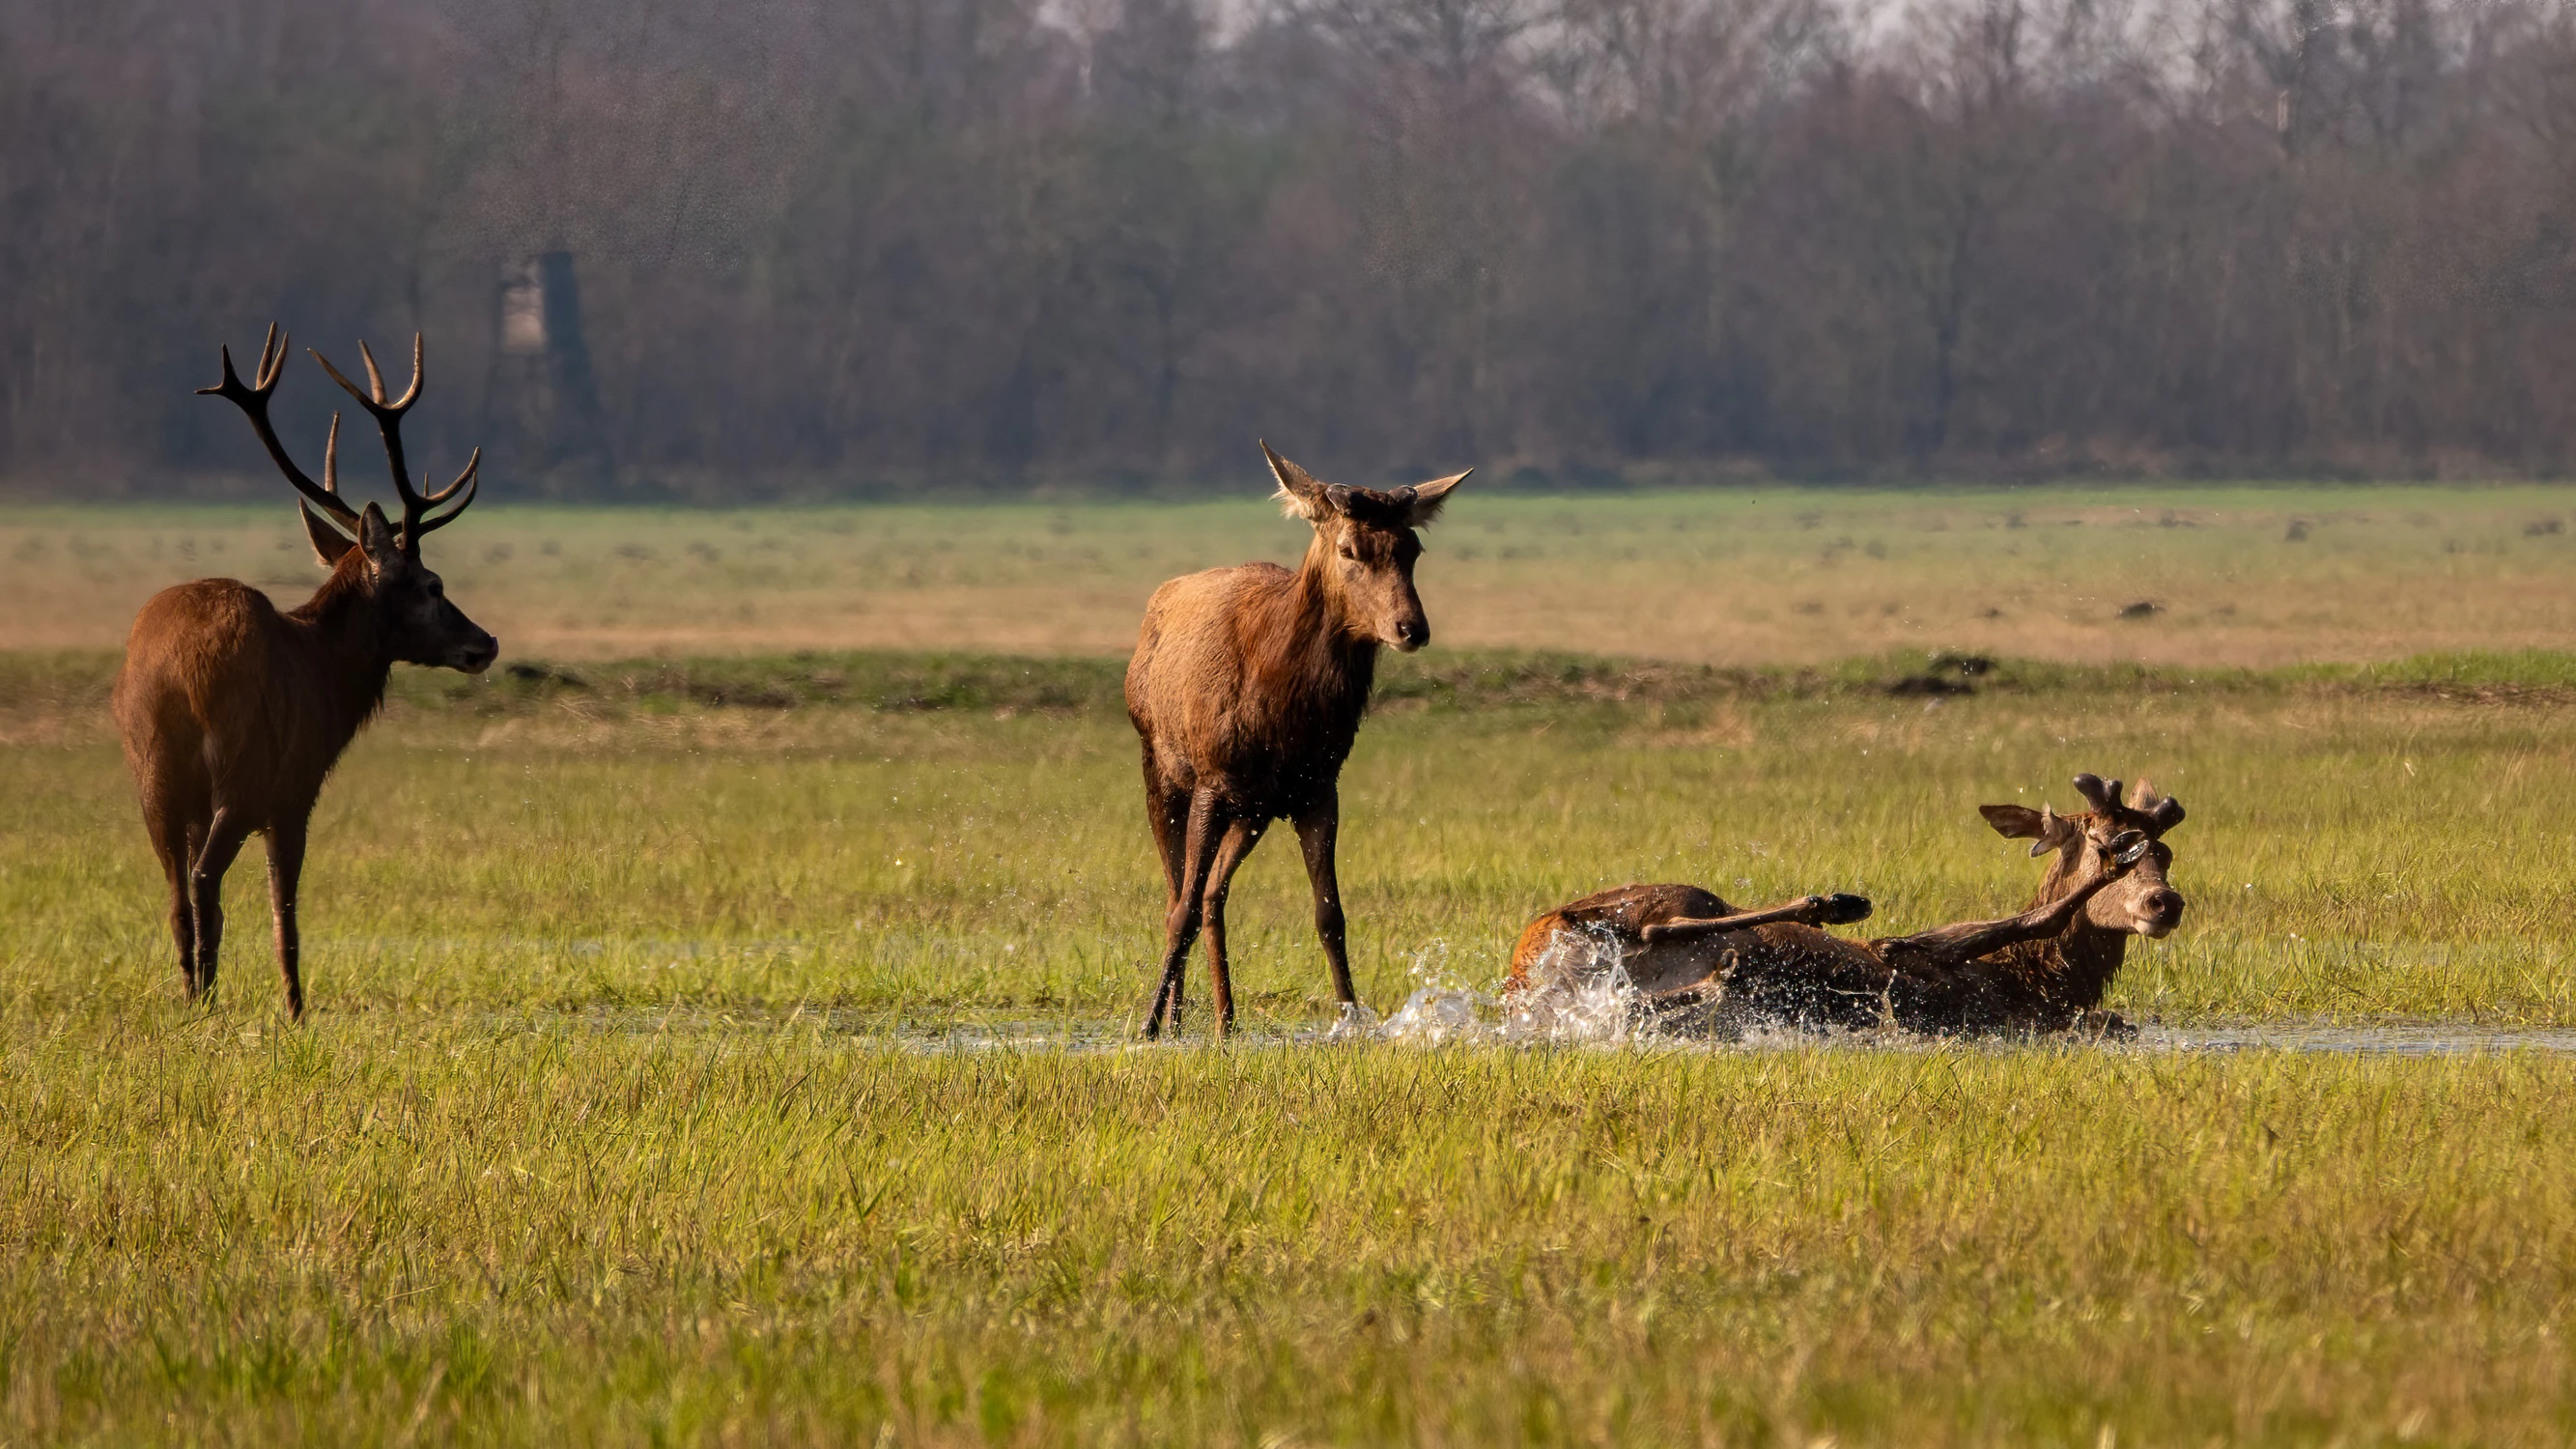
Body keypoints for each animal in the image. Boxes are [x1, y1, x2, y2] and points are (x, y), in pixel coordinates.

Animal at [114, 325, 496, 1015]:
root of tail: (180, 675)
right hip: (244, 768)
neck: (326, 676)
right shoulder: (297, 787)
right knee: (206, 881)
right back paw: (209, 1002)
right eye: (432, 584)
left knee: (177, 896)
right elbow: (284, 908)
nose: (486, 642)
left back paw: (191, 999)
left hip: (151, 772)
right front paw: (295, 1010)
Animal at [1128, 438, 1473, 1026]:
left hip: (1255, 812)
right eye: (1349, 549)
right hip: (1162, 770)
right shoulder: (1213, 781)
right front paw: (1150, 1026)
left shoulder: (1317, 788)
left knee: (1214, 894)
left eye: (1413, 549)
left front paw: (1352, 1017)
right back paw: (1179, 1017)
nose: (1411, 627)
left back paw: (1226, 1019)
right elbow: (1181, 912)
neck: (1284, 714)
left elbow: (1329, 915)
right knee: (1180, 894)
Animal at [1504, 773, 2194, 1031]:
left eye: (2166, 853)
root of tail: (1521, 974)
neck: (2043, 978)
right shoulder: (1920, 955)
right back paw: (1834, 902)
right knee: (1662, 927)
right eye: (2104, 838)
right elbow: (2023, 917)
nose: (2165, 903)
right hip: (1669, 900)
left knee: (1650, 992)